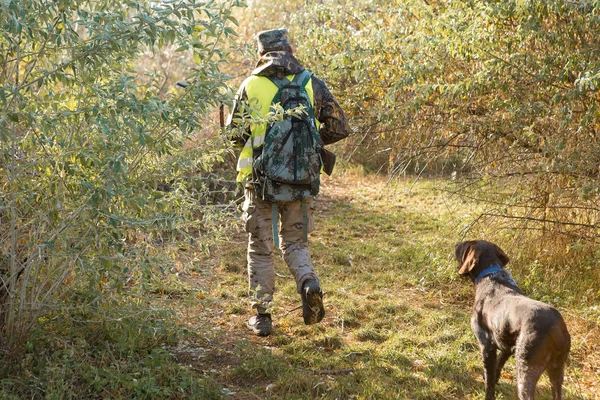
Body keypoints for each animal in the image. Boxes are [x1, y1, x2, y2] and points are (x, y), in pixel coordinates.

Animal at [458, 239, 568, 398]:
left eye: (463, 245)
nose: (456, 244)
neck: (491, 276)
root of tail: (556, 328)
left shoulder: (486, 346)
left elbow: (489, 383)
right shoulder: (507, 345)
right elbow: (498, 365)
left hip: (526, 371)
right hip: (557, 372)